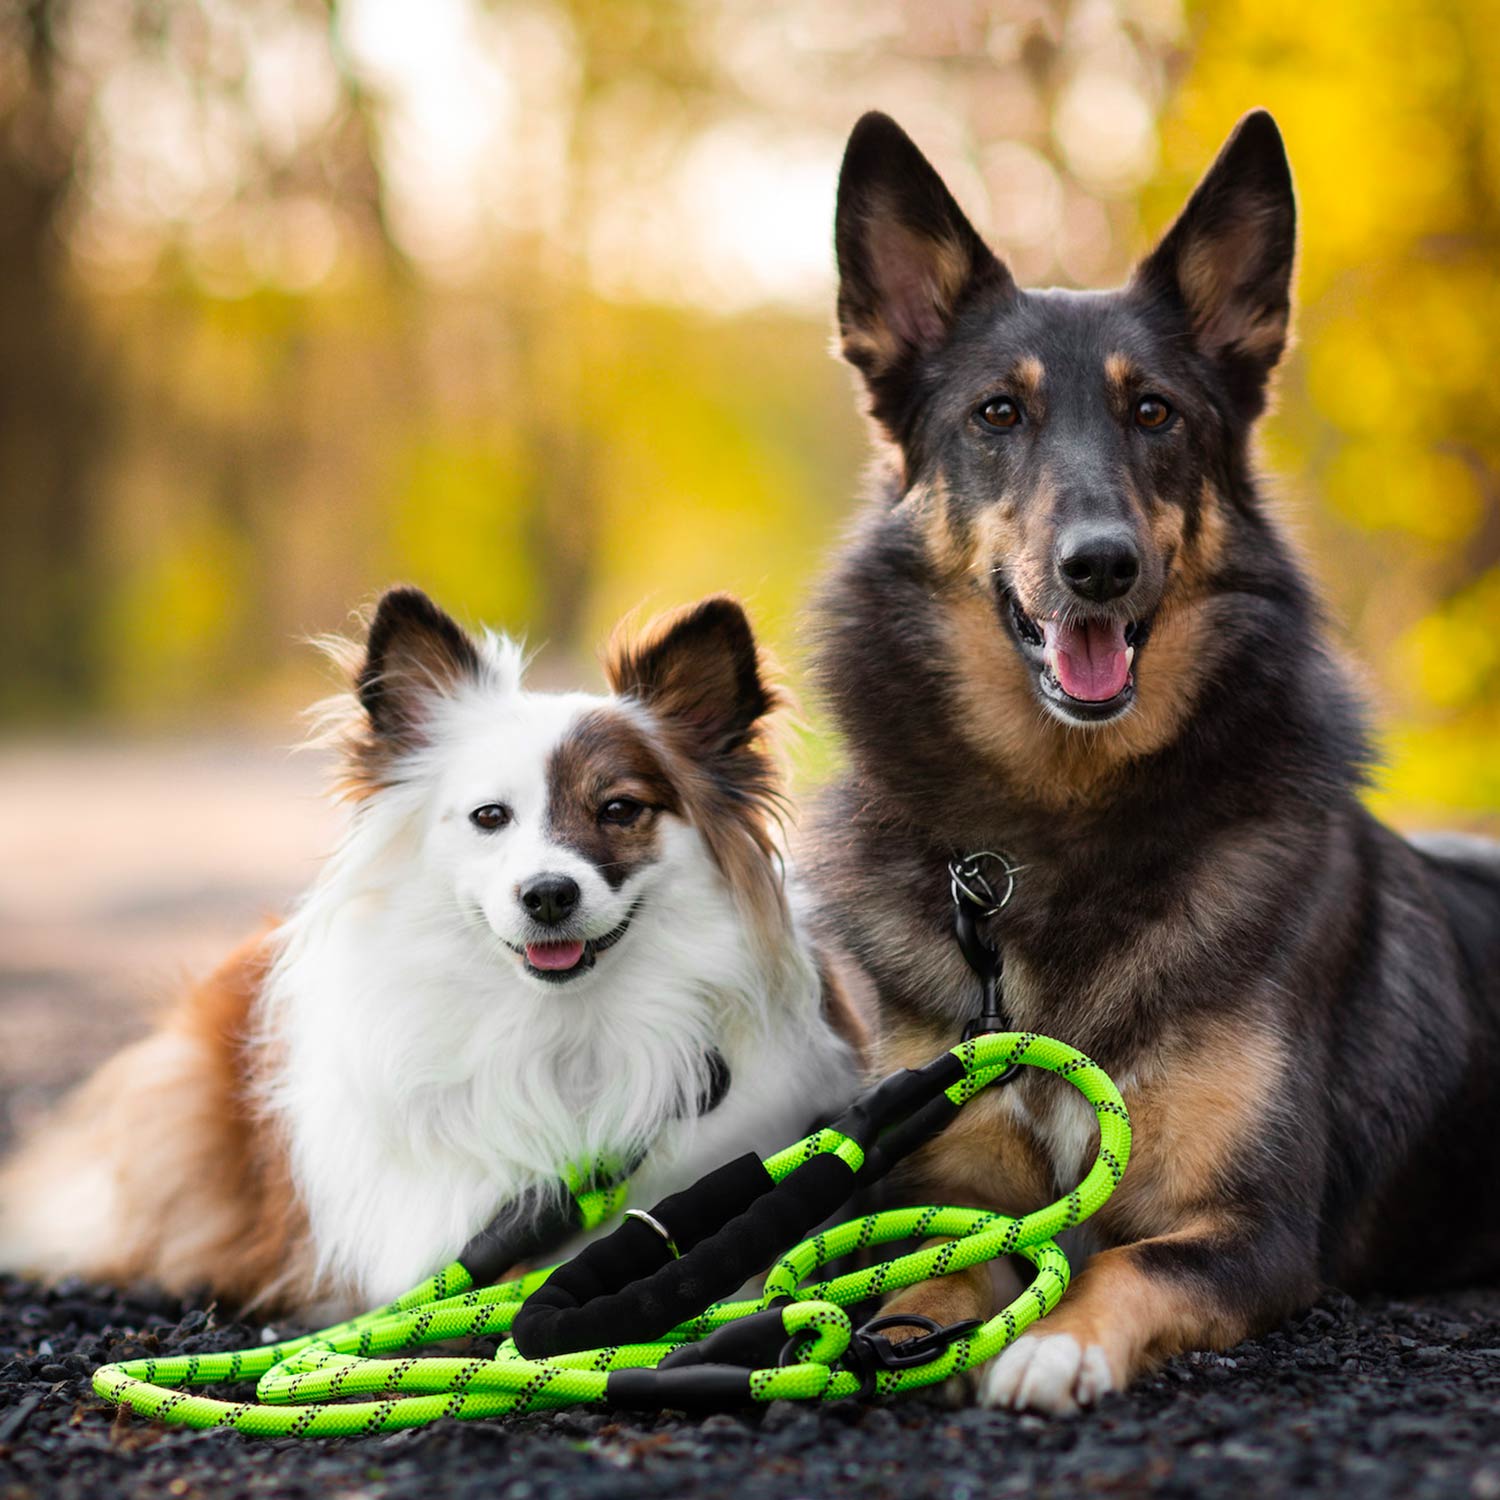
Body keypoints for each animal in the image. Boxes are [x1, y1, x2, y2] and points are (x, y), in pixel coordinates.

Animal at [810, 111, 1500, 1410]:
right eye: (997, 415)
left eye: (1156, 414)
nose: (1100, 566)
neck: (1061, 824)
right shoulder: (948, 1196)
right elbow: (931, 1284)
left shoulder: (1252, 1228)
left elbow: (1128, 1265)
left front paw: (1054, 1343)